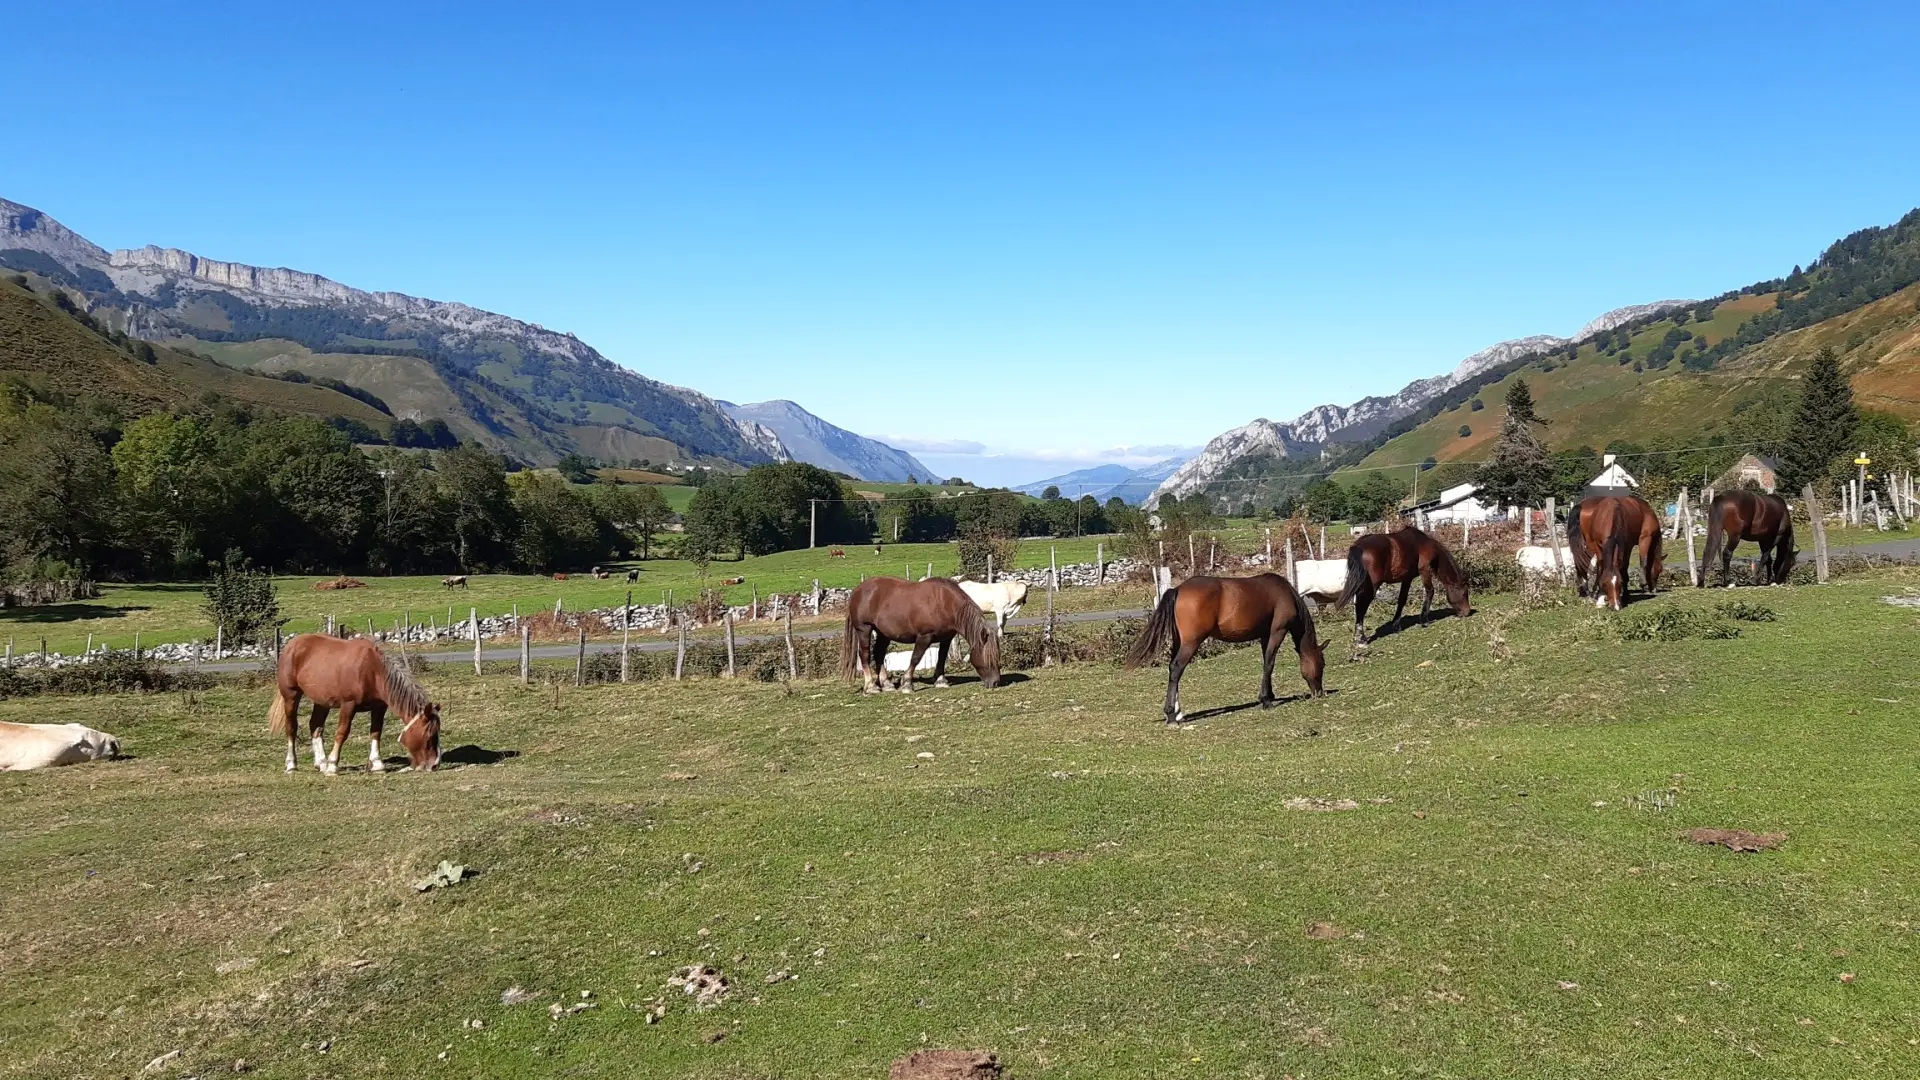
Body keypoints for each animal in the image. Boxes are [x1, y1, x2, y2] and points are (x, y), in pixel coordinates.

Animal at [268, 630, 439, 772]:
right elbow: (342, 732)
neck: (374, 671)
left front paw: (377, 763)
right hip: (291, 695)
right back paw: (292, 764)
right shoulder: (348, 705)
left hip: (322, 701)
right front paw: (333, 764)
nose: (434, 765)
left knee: (315, 726)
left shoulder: (379, 707)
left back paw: (321, 763)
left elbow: (376, 732)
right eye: (430, 735)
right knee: (291, 728)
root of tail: (292, 645)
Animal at [837, 580, 1006, 687]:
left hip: (883, 633)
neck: (944, 603)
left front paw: (940, 680)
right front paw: (907, 683)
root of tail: (857, 591)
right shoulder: (925, 637)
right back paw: (871, 686)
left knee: (878, 654)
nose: (996, 682)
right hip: (864, 629)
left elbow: (941, 657)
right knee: (864, 655)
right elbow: (916, 658)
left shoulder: (946, 637)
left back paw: (886, 684)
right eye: (988, 657)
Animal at [1121, 572, 1328, 722]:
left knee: (1173, 671)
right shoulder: (1277, 631)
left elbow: (1266, 664)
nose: (1319, 693)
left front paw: (1269, 695)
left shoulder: (1265, 635)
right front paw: (1266, 700)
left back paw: (1178, 713)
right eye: (1322, 664)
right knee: (1177, 668)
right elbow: (1269, 663)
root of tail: (1178, 589)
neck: (1285, 594)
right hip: (1191, 642)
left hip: (1179, 641)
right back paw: (1171, 714)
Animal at [1336, 526, 1466, 653]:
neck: (1424, 543)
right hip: (1372, 586)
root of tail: (1359, 546)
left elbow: (1402, 600)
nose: (1467, 611)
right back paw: (1360, 639)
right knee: (1362, 606)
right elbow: (1430, 592)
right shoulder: (1424, 570)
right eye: (1465, 593)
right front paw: (1424, 620)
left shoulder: (1407, 578)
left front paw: (1396, 625)